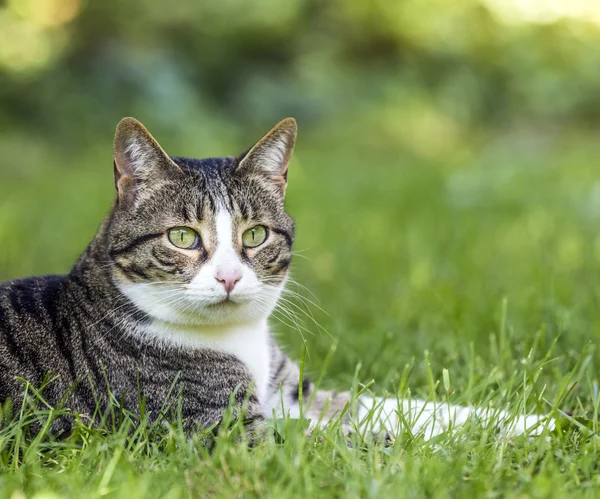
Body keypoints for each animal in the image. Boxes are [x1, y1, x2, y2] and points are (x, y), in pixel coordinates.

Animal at [0, 117, 552, 442]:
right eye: (182, 236)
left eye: (255, 234)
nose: (228, 277)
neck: (239, 339)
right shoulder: (225, 433)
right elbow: (372, 442)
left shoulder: (291, 393)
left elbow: (404, 409)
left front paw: (539, 423)